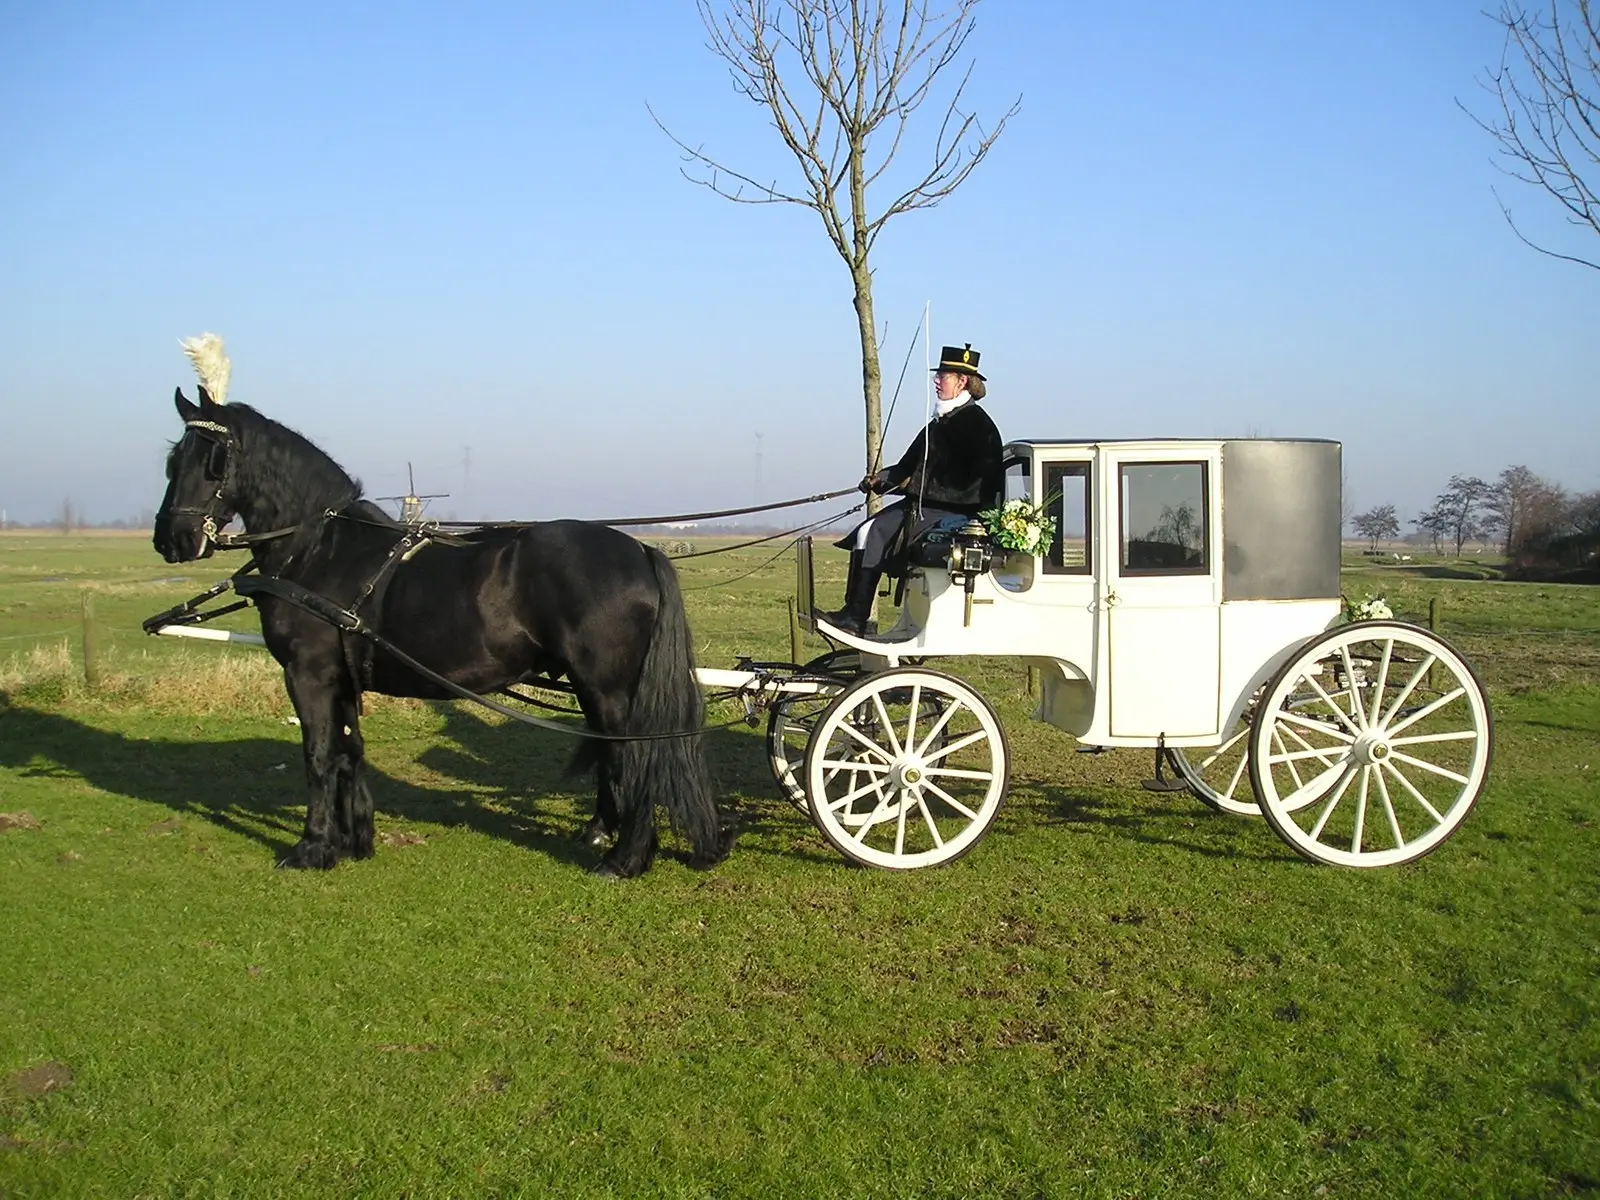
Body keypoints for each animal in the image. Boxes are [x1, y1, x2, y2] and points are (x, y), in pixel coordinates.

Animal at [152, 381, 731, 878]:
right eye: (172, 460)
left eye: (210, 458)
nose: (170, 538)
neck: (321, 550)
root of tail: (639, 549)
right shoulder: (341, 679)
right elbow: (347, 751)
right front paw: (354, 839)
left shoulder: (308, 674)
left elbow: (317, 755)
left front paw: (312, 848)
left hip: (607, 688)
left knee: (634, 758)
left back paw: (625, 859)